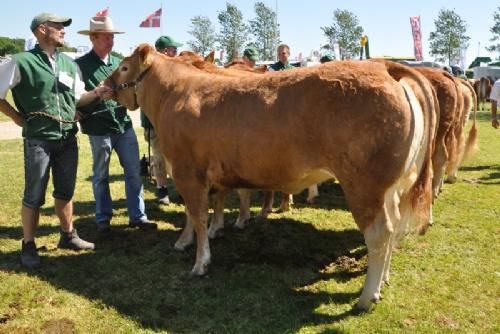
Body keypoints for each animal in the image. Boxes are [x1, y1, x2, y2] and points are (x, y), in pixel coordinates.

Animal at [107, 45, 436, 310]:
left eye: (123, 67)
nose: (103, 86)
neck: (175, 94)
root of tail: (384, 67)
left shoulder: (188, 172)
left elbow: (198, 215)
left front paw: (200, 261)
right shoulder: (207, 175)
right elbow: (201, 211)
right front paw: (190, 240)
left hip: (364, 185)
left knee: (379, 233)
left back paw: (367, 297)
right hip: (389, 188)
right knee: (393, 226)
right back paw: (384, 279)